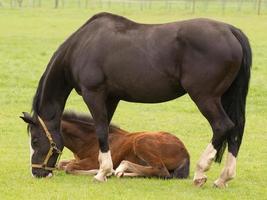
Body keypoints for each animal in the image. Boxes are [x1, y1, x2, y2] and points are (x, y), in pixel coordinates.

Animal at [58, 111, 191, 179]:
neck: (90, 140)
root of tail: (185, 153)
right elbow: (61, 164)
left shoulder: (93, 162)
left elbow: (69, 167)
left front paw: (102, 172)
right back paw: (121, 172)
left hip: (140, 141)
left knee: (161, 170)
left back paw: (118, 169)